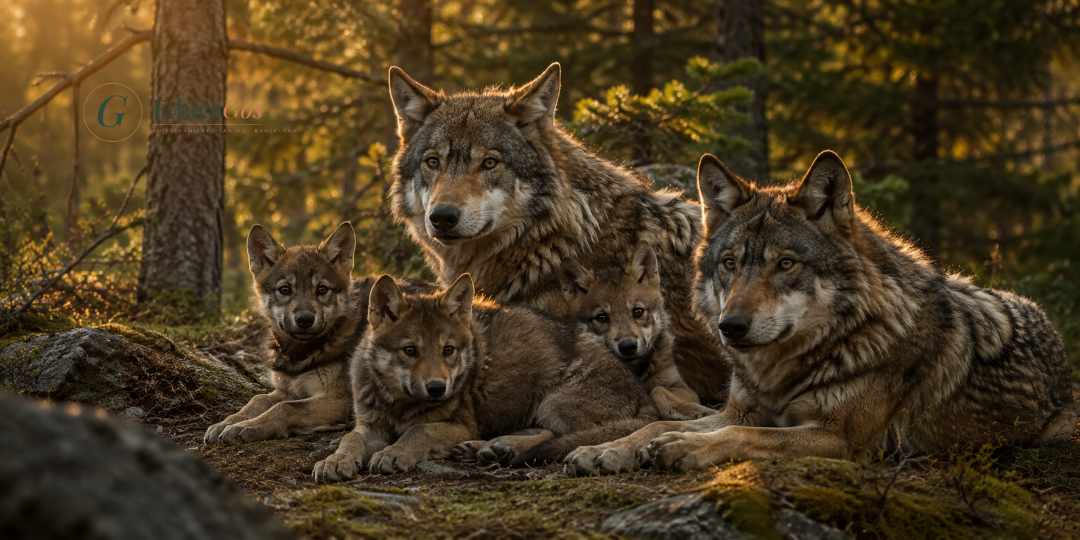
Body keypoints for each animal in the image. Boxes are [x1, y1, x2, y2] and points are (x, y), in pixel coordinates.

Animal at [204, 223, 364, 444]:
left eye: (322, 289)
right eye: (285, 289)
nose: (305, 319)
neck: (300, 355)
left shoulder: (338, 400)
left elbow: (283, 408)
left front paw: (246, 427)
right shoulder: (285, 390)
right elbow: (256, 400)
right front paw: (227, 423)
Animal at [311, 274, 658, 480]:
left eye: (448, 350)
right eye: (410, 350)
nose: (437, 388)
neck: (399, 403)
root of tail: (644, 398)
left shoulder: (459, 424)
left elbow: (417, 432)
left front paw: (393, 454)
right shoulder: (368, 426)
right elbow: (348, 440)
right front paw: (335, 462)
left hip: (553, 403)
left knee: (558, 436)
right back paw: (490, 448)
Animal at [565, 151, 1075, 475]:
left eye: (786, 264)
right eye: (730, 264)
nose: (731, 327)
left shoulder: (841, 438)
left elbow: (745, 437)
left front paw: (684, 446)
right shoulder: (740, 410)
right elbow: (656, 422)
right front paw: (605, 450)